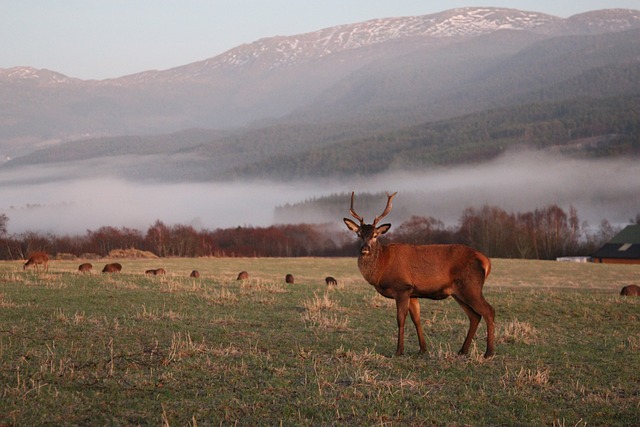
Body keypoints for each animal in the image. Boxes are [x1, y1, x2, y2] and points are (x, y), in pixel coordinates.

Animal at [342, 192, 498, 360]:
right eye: (358, 234)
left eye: (375, 235)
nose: (365, 248)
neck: (382, 267)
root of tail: (486, 261)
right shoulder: (413, 293)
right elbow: (416, 319)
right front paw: (422, 349)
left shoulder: (402, 288)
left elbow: (401, 319)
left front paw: (399, 351)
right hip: (459, 292)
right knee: (474, 316)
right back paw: (463, 350)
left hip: (471, 286)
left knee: (489, 311)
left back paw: (489, 352)